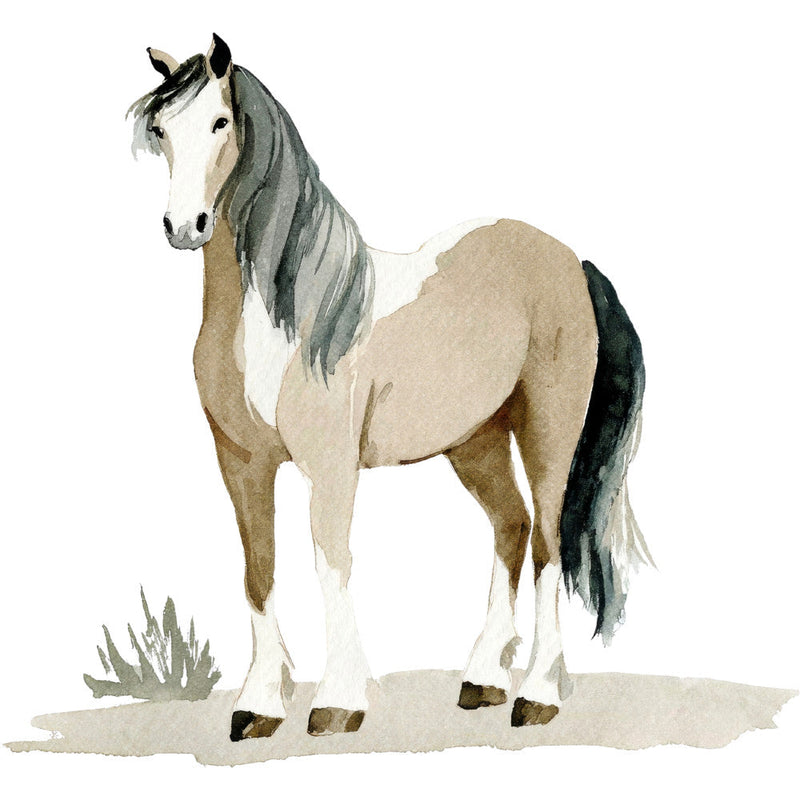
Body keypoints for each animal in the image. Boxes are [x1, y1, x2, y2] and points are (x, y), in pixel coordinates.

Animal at [129, 34, 650, 741]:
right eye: (160, 129)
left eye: (220, 122)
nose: (186, 225)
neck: (278, 318)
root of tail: (573, 262)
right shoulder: (241, 463)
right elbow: (258, 572)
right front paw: (258, 706)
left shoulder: (330, 466)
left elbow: (330, 563)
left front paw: (338, 703)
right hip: (476, 441)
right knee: (511, 527)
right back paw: (482, 680)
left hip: (549, 434)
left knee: (546, 542)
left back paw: (538, 694)